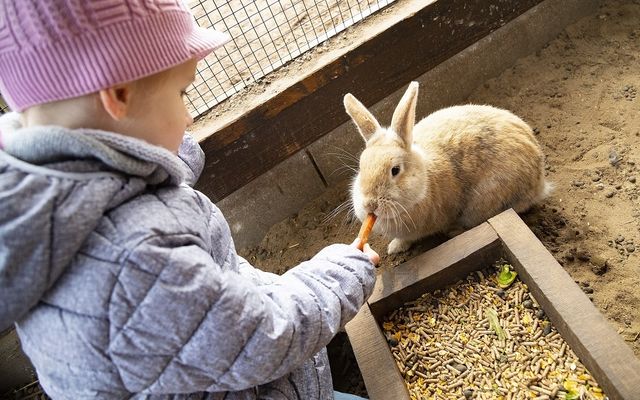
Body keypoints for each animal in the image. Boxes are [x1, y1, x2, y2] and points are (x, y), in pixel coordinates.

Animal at [344, 83, 552, 255]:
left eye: (395, 170)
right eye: (361, 167)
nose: (370, 204)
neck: (425, 182)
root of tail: (540, 183)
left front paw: (395, 248)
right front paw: (394, 247)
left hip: (485, 203)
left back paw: (455, 231)